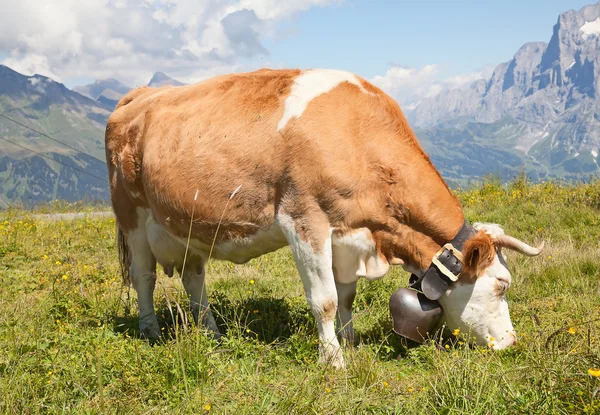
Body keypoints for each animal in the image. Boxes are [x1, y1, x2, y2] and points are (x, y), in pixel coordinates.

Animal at [104, 68, 544, 370]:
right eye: (502, 284)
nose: (512, 342)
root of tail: (138, 96)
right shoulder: (303, 222)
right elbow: (326, 300)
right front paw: (333, 359)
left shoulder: (348, 235)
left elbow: (346, 296)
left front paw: (348, 341)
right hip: (131, 215)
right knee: (144, 277)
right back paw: (150, 330)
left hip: (190, 224)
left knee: (194, 278)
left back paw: (212, 333)